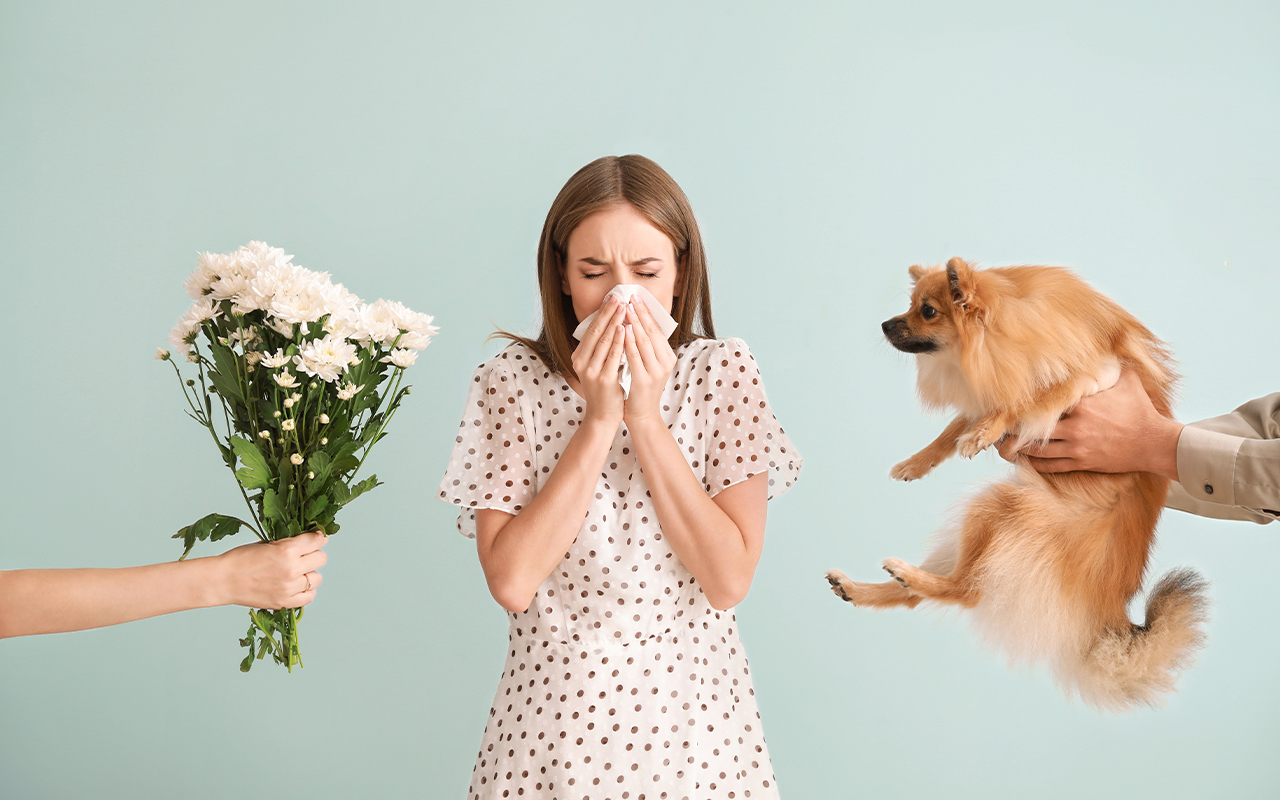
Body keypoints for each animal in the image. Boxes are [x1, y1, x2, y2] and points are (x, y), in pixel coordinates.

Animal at [824, 258, 1203, 706]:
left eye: (927, 311)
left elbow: (1029, 399)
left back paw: (907, 574)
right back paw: (858, 587)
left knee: (967, 591)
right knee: (926, 596)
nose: (885, 324)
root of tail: (1108, 614)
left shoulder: (1096, 375)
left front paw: (986, 431)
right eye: (910, 305)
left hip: (1002, 507)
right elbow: (953, 430)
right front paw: (917, 463)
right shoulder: (989, 389)